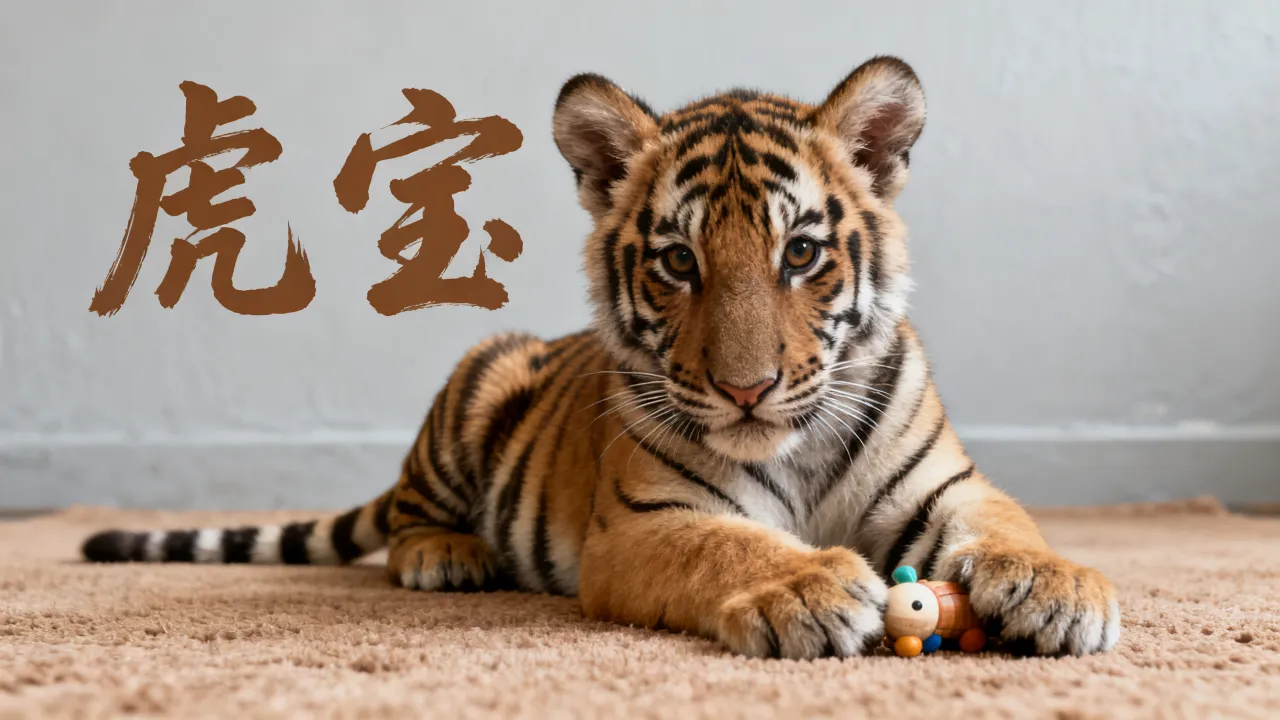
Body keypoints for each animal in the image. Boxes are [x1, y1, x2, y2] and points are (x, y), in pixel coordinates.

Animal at [82, 56, 1120, 659]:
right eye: (678, 261)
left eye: (800, 253)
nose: (747, 390)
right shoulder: (647, 524)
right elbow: (730, 544)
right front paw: (810, 585)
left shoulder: (947, 488)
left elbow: (1012, 522)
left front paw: (1063, 587)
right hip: (478, 376)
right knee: (409, 518)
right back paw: (449, 557)